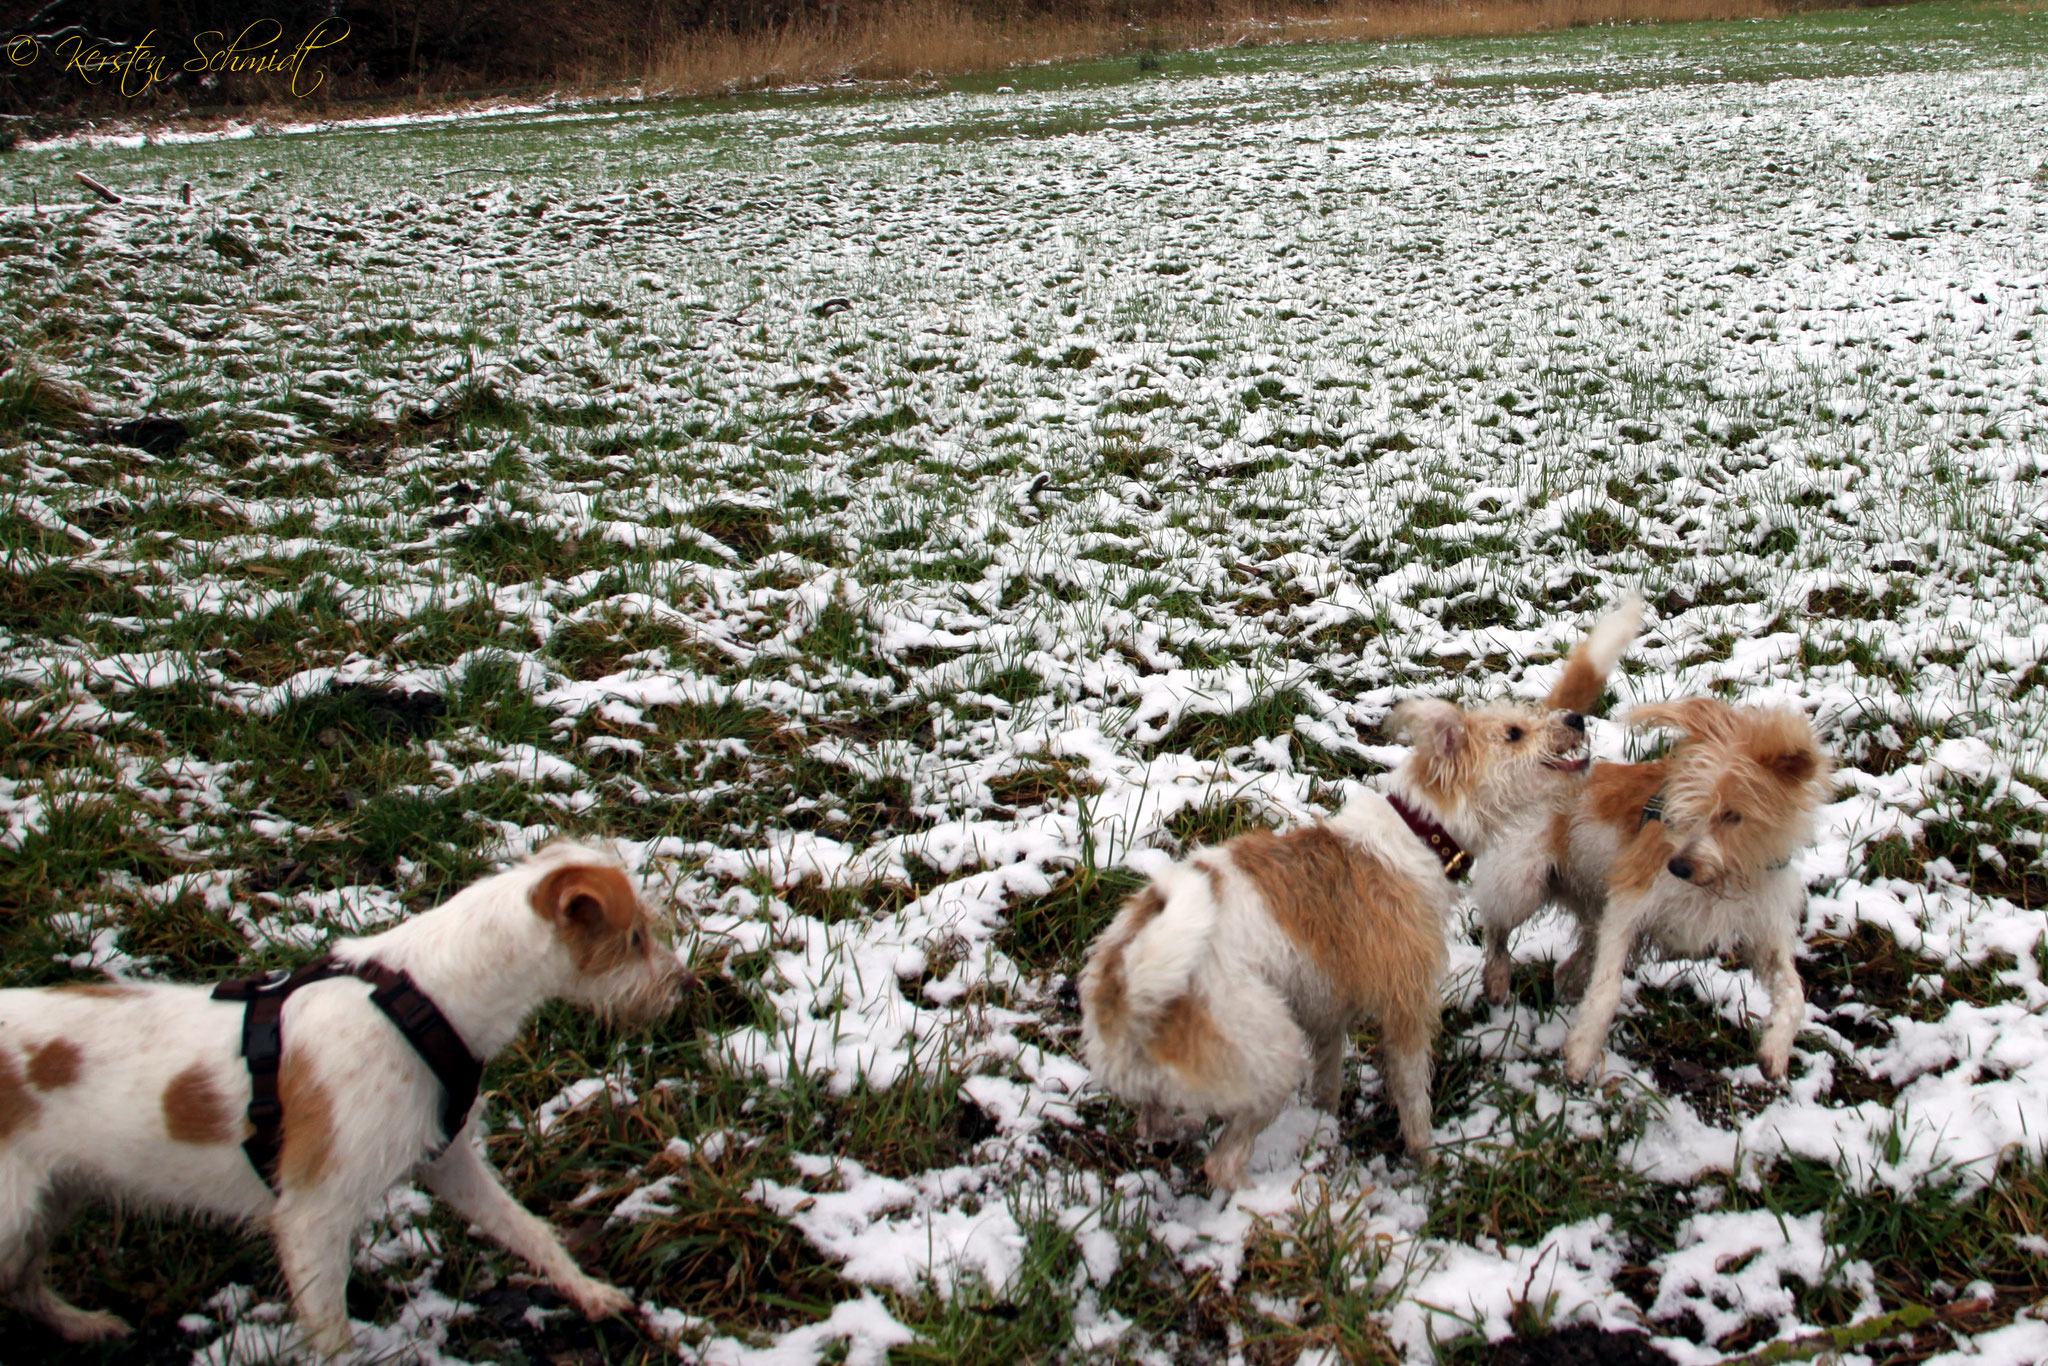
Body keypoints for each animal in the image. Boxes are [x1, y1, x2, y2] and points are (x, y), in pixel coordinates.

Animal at [0, 843, 688, 1359]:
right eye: (634, 939)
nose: (687, 987)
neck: (423, 997)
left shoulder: (447, 1158)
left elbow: (526, 1228)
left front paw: (587, 1290)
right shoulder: (312, 1216)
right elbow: (332, 1334)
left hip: (52, 1197)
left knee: (24, 1285)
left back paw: (82, 1323)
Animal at [1081, 598, 1638, 1187]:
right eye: (1514, 733)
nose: (1575, 718)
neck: (1418, 830)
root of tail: (1126, 985)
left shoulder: (1328, 1012)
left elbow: (1328, 1081)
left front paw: (1327, 1120)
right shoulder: (1408, 1005)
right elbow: (1413, 1095)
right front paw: (1426, 1158)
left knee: (1156, 1122)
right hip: (1270, 1054)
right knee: (1224, 1160)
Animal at [1474, 700, 1843, 1081]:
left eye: (1732, 815)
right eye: (1684, 807)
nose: (1677, 867)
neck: (1724, 878)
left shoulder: (1765, 928)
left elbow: (1794, 993)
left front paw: (1775, 1049)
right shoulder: (1629, 901)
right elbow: (1607, 987)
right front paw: (1582, 1049)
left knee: (1575, 957)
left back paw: (1569, 982)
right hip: (1521, 885)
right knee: (1497, 931)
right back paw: (1498, 978)